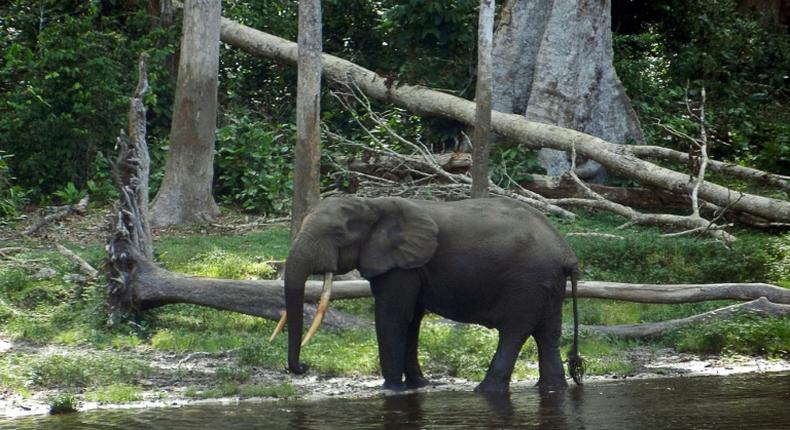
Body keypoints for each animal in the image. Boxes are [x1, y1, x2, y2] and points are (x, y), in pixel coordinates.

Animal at [276, 197, 584, 392]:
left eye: (338, 235)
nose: (304, 366)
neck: (372, 204)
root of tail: (567, 253)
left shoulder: (400, 265)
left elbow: (392, 315)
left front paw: (391, 389)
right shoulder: (410, 266)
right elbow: (411, 319)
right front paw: (417, 386)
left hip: (527, 282)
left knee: (515, 331)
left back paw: (485, 391)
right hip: (547, 284)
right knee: (547, 333)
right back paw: (551, 388)